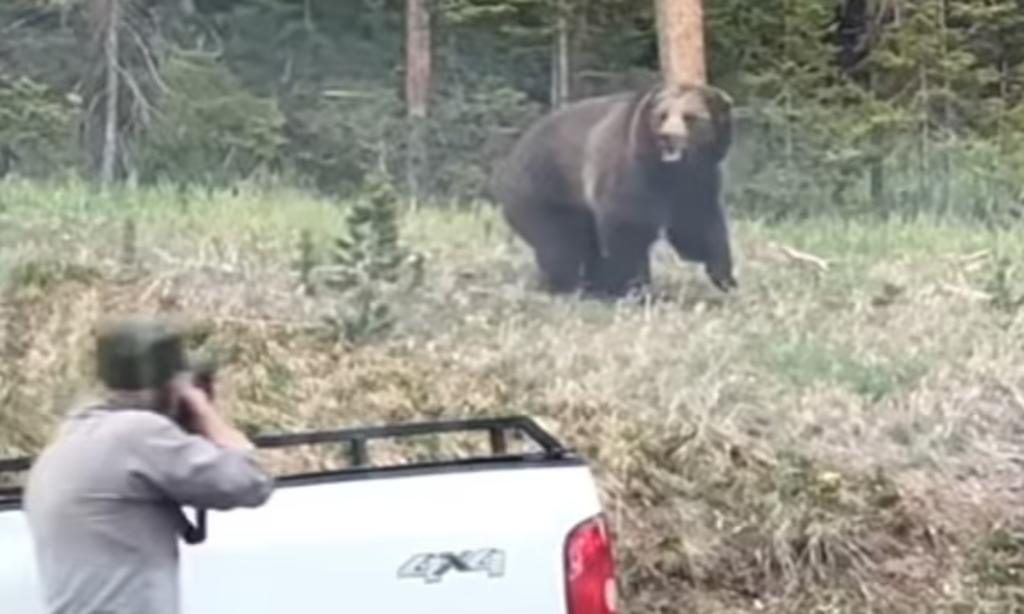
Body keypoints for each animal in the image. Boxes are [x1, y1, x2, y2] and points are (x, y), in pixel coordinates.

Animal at [487, 79, 737, 296]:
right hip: (545, 189)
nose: (668, 137)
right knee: (560, 243)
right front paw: (635, 287)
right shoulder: (630, 170)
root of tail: (513, 154)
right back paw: (568, 286)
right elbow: (627, 227)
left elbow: (697, 224)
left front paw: (724, 277)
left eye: (690, 117)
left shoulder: (697, 179)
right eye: (662, 116)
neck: (669, 169)